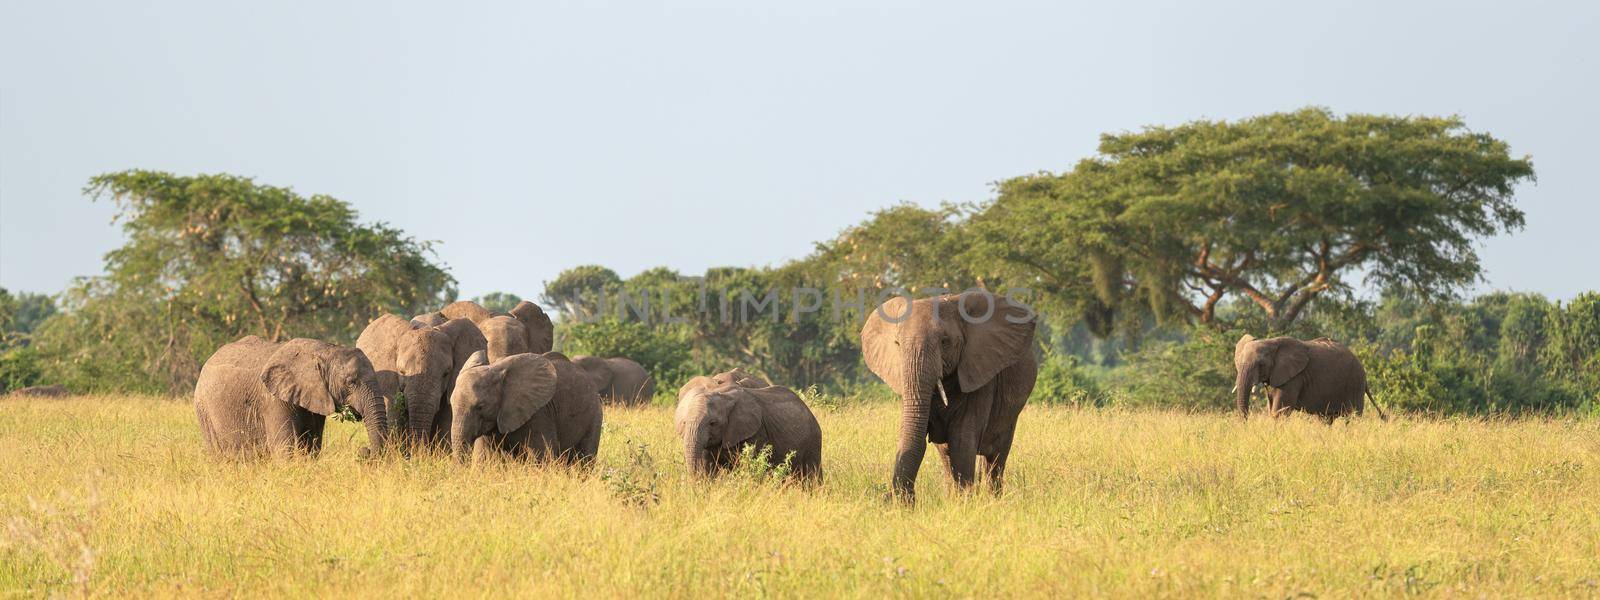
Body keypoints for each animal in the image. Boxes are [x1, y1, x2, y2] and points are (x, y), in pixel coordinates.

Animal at [195, 336, 388, 457]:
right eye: (351, 382)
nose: (364, 450)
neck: (324, 351)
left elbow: (311, 446)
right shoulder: (272, 399)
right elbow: (284, 448)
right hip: (204, 410)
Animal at [451, 352, 601, 464]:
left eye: (480, 407)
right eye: (451, 404)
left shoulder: (539, 414)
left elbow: (542, 459)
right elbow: (484, 458)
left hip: (595, 414)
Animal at [864, 291, 1036, 502]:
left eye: (945, 342)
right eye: (897, 344)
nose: (895, 498)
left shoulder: (980, 374)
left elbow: (962, 441)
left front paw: (965, 503)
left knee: (995, 458)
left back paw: (992, 500)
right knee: (946, 454)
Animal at [1228, 334, 1382, 422]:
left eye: (1261, 364)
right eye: (1238, 363)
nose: (1246, 423)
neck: (1271, 343)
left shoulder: (1293, 378)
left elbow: (1279, 411)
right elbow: (1272, 408)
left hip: (1355, 382)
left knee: (1353, 416)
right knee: (1325, 418)